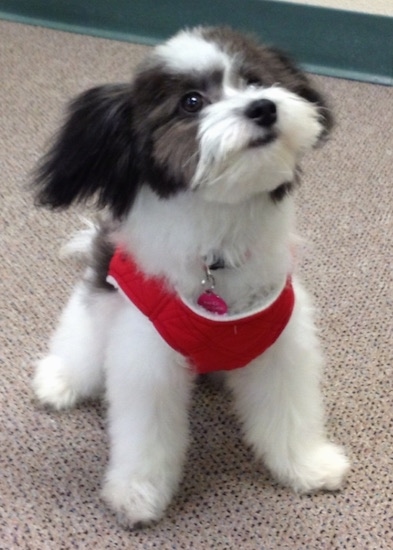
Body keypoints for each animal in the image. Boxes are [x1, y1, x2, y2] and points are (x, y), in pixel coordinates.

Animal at [31, 27, 350, 532]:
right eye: (191, 102)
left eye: (255, 80)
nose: (263, 107)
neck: (216, 253)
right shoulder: (147, 358)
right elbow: (146, 435)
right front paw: (137, 494)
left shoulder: (281, 344)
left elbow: (289, 412)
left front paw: (307, 465)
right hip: (98, 308)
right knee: (80, 347)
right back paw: (60, 380)